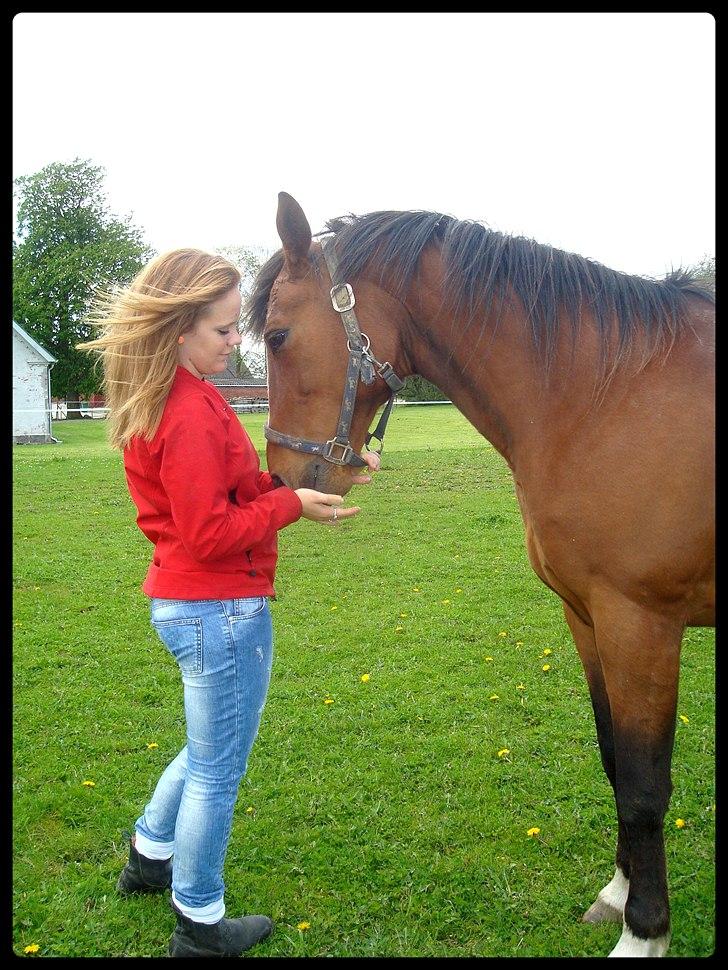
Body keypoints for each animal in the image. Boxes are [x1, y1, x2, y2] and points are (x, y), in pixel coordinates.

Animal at [247, 189, 712, 952]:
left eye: (280, 336)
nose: (283, 477)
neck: (608, 393)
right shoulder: (587, 616)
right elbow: (616, 761)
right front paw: (618, 893)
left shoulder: (641, 623)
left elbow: (646, 785)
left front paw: (643, 932)